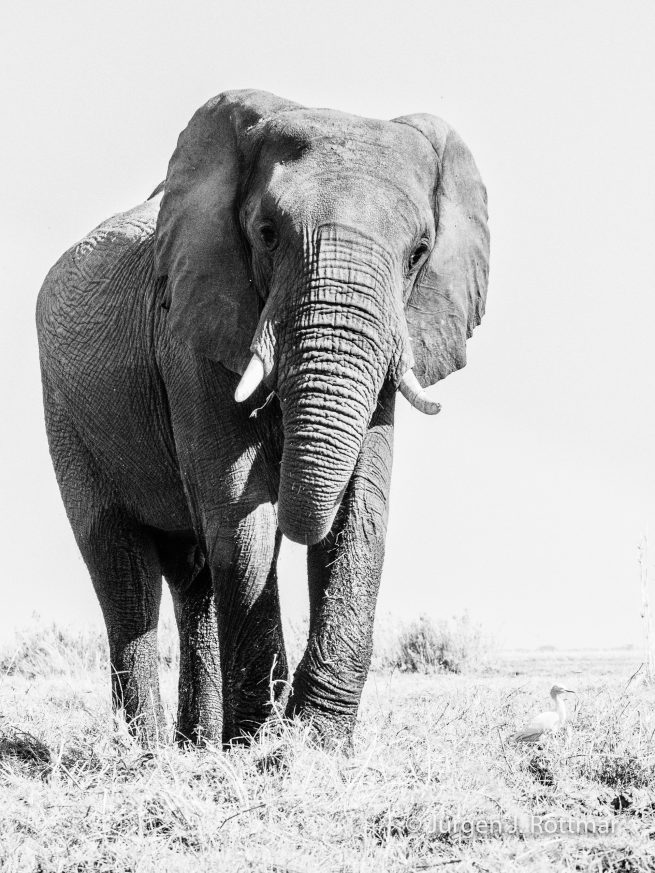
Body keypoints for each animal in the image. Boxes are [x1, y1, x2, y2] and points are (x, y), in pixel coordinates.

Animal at [36, 89, 489, 749]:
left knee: (192, 575)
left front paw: (316, 744)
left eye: (418, 254)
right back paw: (145, 751)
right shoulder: (188, 336)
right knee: (123, 570)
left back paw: (195, 744)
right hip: (65, 414)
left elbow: (361, 510)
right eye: (268, 234)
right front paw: (260, 745)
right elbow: (239, 514)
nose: (292, 715)